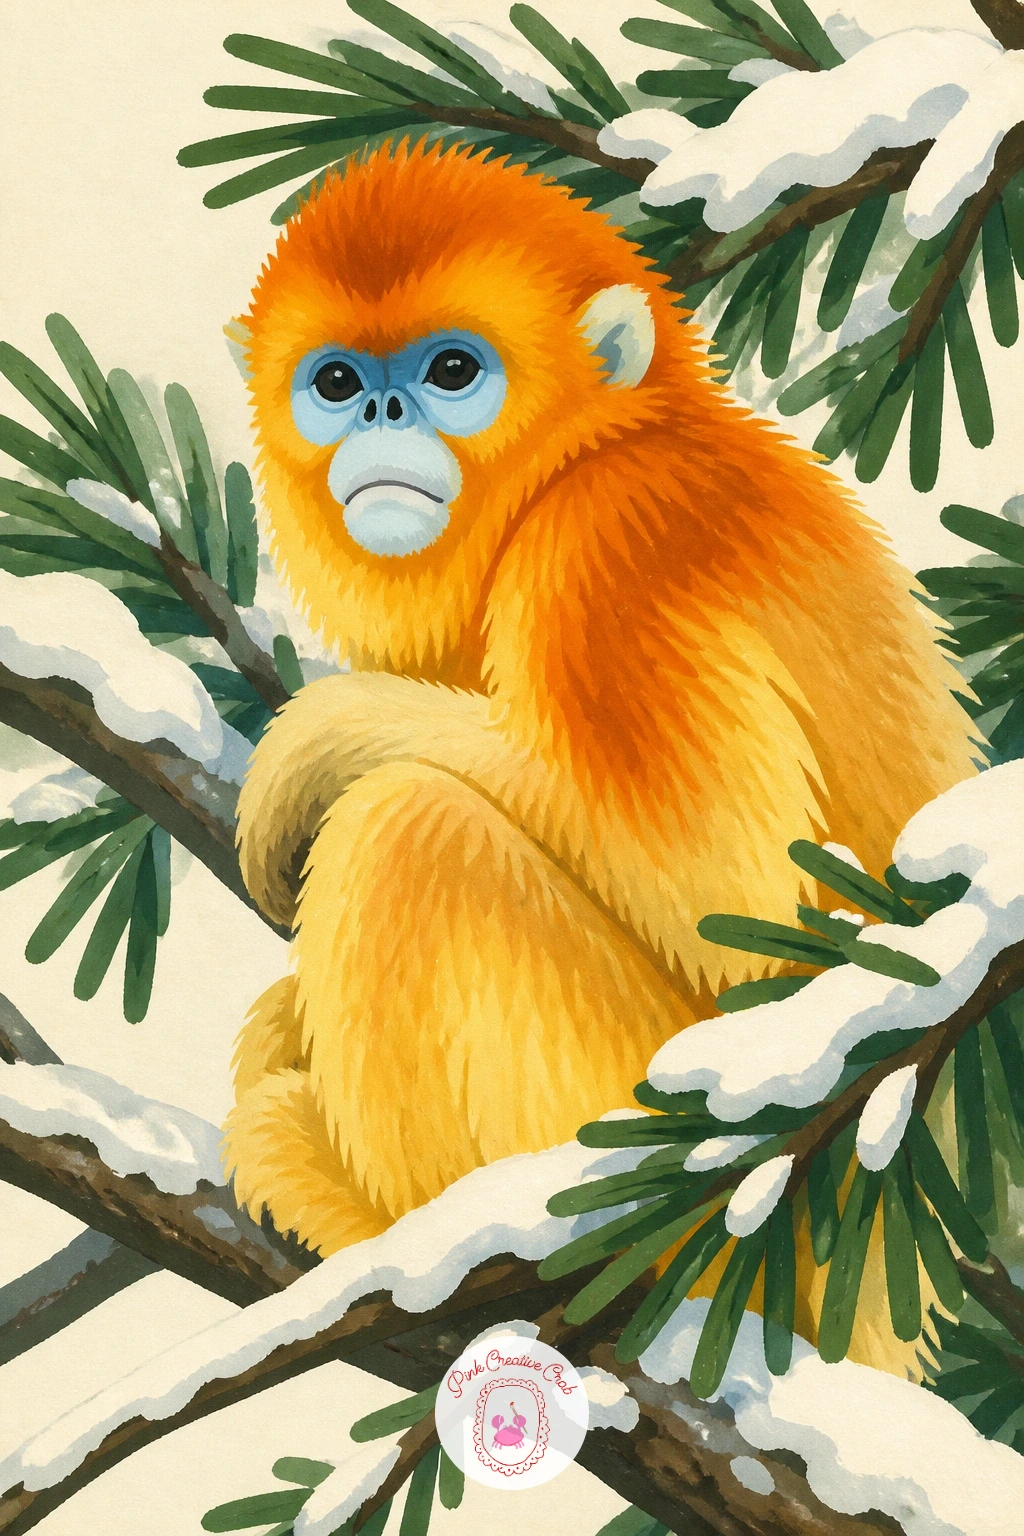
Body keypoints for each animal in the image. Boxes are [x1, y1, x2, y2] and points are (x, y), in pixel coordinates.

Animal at [225, 140, 976, 1372]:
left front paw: (314, 739)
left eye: (451, 369)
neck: (595, 447)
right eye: (334, 382)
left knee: (405, 828)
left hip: (654, 1155)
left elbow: (722, 894)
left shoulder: (605, 551)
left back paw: (403, 1235)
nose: (379, 406)